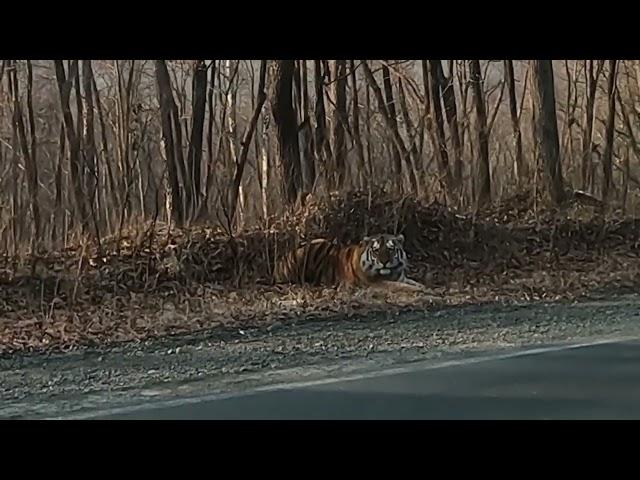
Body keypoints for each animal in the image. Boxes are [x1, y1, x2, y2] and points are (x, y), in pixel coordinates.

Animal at [272, 234, 424, 290]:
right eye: (376, 251)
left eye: (390, 249)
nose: (384, 261)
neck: (391, 273)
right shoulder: (376, 283)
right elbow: (404, 286)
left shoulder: (401, 277)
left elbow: (415, 283)